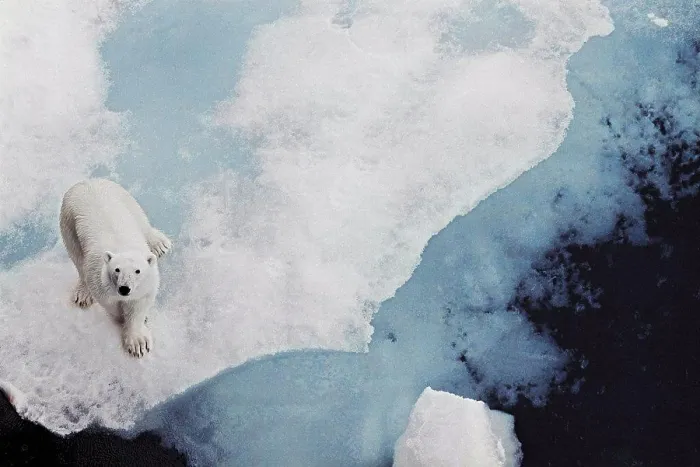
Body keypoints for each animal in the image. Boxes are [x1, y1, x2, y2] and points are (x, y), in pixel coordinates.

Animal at [59, 179, 172, 358]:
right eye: (116, 270)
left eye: (137, 271)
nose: (124, 289)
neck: (122, 247)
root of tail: (87, 181)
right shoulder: (98, 278)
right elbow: (110, 302)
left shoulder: (148, 281)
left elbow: (140, 301)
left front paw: (139, 341)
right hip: (68, 222)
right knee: (76, 257)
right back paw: (83, 294)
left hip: (124, 197)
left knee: (141, 220)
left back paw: (159, 244)